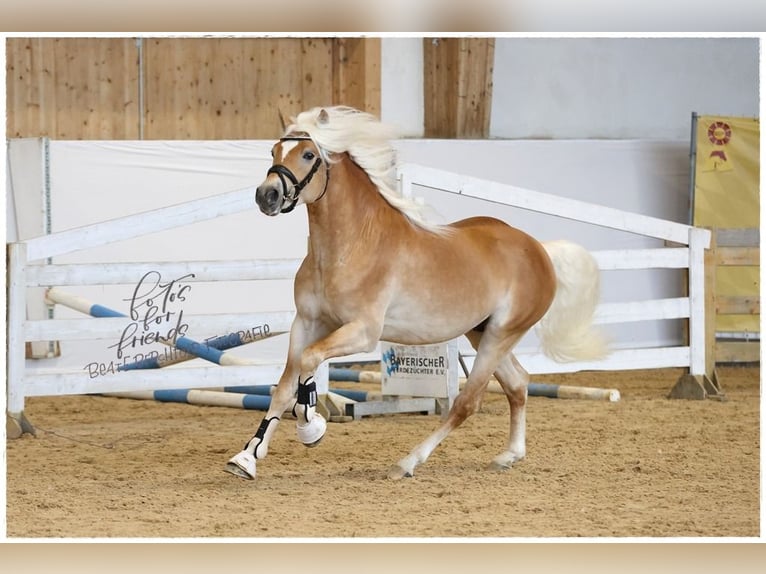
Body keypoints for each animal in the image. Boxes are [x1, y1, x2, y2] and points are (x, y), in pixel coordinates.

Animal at [225, 107, 608, 482]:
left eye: (308, 154)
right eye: (273, 151)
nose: (266, 196)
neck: (350, 246)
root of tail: (539, 250)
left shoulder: (362, 332)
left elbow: (308, 362)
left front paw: (311, 427)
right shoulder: (307, 322)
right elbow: (284, 386)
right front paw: (246, 458)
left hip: (501, 334)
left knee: (467, 402)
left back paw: (408, 462)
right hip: (481, 331)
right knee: (518, 383)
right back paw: (509, 455)